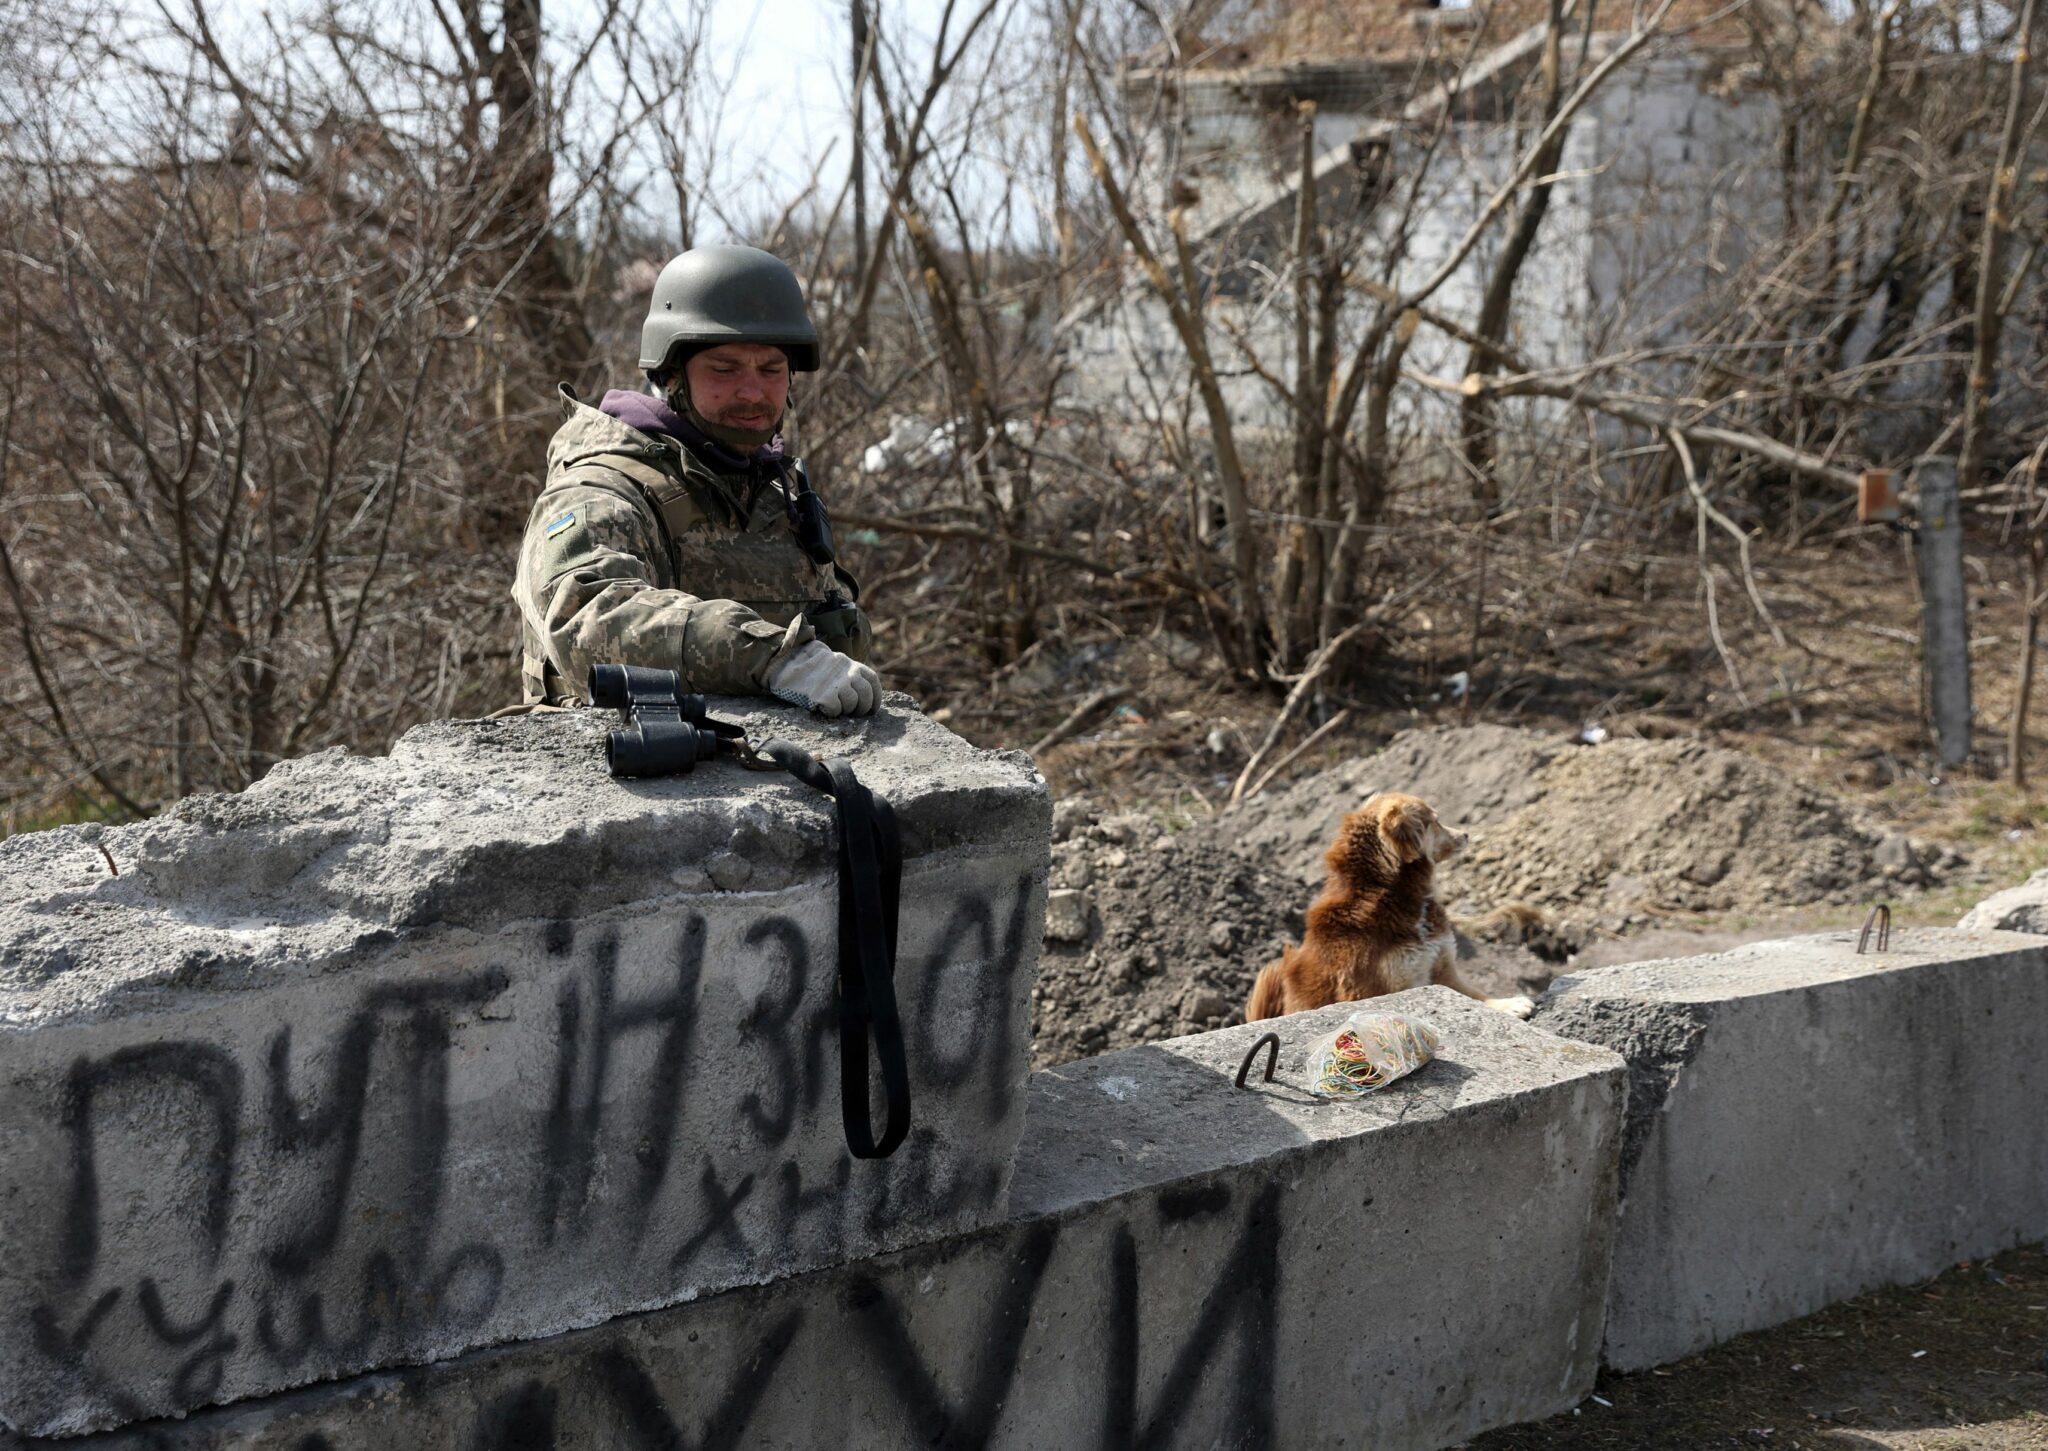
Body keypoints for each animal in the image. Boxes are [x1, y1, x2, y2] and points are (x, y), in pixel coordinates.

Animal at [1245, 795, 1540, 1020]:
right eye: (1434, 821)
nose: (1465, 834)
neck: (1389, 893)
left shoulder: (1442, 965)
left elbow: (1474, 995)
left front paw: (1507, 1004)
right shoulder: (1377, 988)